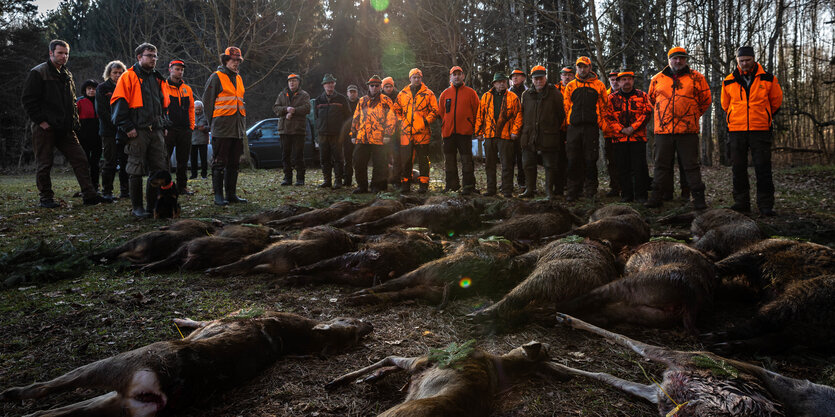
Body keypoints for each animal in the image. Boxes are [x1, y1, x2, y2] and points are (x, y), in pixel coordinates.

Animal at [0, 308, 372, 416]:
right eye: (352, 326)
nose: (369, 325)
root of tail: (163, 389)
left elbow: (196, 322)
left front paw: (182, 319)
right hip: (125, 401)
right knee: (64, 411)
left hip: (126, 363)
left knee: (51, 386)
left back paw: (15, 393)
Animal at [548, 314, 835, 416]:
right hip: (683, 365)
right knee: (635, 343)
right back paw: (564, 322)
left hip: (665, 393)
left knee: (608, 373)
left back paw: (553, 361)